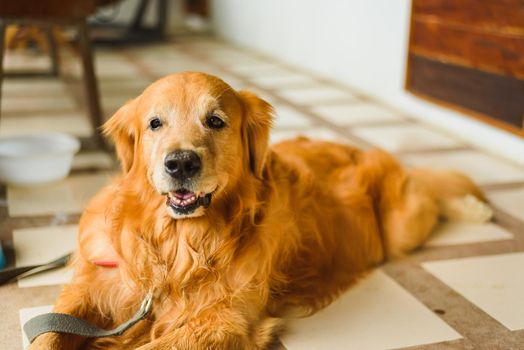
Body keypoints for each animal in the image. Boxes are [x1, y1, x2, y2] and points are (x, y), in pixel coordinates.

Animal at [31, 72, 492, 348]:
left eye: (215, 121)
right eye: (155, 123)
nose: (180, 163)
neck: (180, 246)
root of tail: (356, 148)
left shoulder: (225, 320)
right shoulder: (93, 290)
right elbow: (48, 334)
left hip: (402, 225)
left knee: (430, 188)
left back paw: (474, 206)